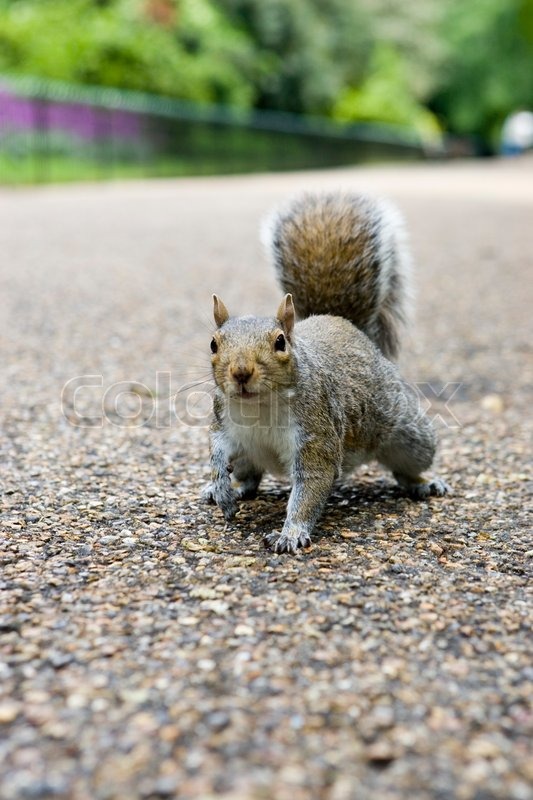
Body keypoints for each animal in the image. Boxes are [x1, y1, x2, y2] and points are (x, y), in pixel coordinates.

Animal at [202, 191, 449, 554]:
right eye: (213, 344)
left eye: (280, 342)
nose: (241, 372)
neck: (259, 407)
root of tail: (343, 323)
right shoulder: (223, 423)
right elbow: (216, 453)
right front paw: (219, 485)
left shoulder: (316, 434)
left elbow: (312, 485)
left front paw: (291, 533)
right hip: (248, 455)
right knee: (251, 476)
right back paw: (229, 489)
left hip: (407, 433)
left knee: (408, 465)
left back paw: (425, 482)